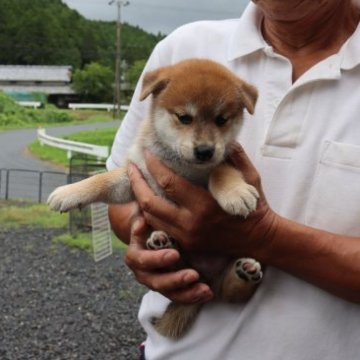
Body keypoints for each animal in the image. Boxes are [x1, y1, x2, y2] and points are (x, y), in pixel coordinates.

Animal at [47, 57, 262, 338]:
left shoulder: (224, 160)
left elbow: (220, 171)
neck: (180, 166)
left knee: (230, 293)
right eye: (184, 118)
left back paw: (245, 271)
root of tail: (206, 280)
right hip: (183, 267)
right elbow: (103, 180)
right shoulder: (135, 176)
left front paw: (236, 192)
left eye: (222, 119)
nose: (205, 151)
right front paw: (70, 192)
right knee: (186, 269)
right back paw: (163, 242)